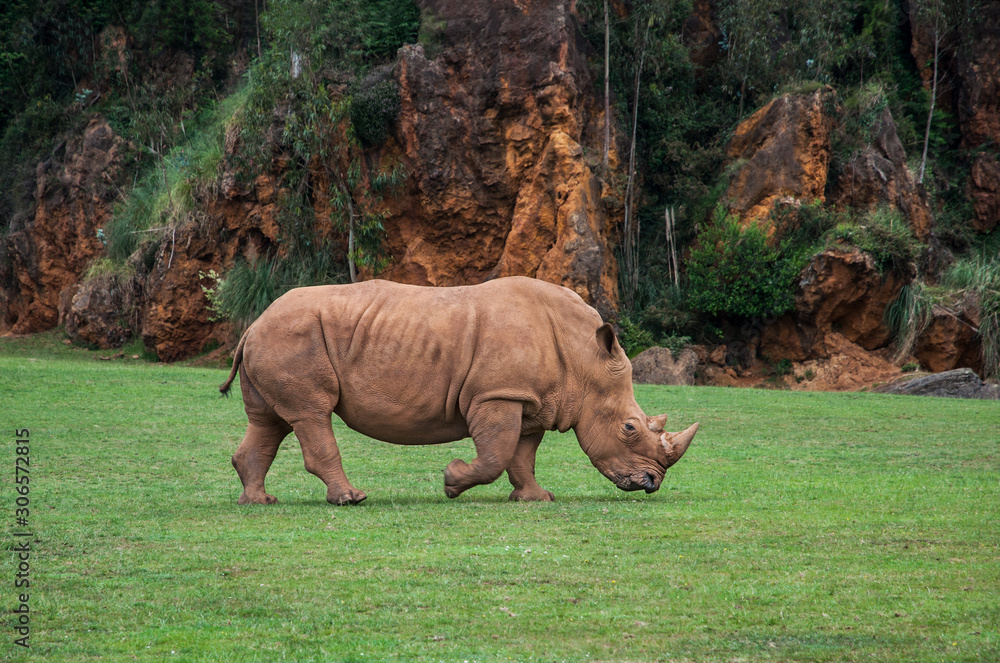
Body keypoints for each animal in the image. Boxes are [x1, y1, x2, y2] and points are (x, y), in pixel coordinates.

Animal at [219, 276, 698, 505]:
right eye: (630, 428)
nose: (651, 483)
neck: (584, 359)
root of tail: (254, 323)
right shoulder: (497, 394)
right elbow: (496, 454)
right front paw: (451, 481)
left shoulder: (531, 400)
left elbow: (521, 455)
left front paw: (535, 499)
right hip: (291, 338)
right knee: (311, 414)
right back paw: (350, 500)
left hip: (276, 339)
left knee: (270, 421)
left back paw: (260, 502)